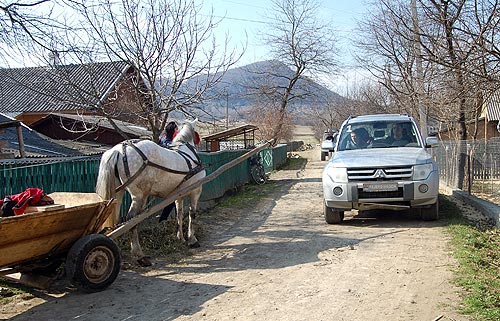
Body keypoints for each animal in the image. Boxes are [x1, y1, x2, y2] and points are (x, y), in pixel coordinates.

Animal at [95, 119, 205, 266]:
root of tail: (118, 149)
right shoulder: (195, 191)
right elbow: (192, 214)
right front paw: (192, 239)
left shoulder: (178, 195)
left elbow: (179, 214)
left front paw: (180, 238)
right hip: (140, 196)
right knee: (131, 220)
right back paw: (139, 255)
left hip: (117, 193)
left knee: (115, 219)